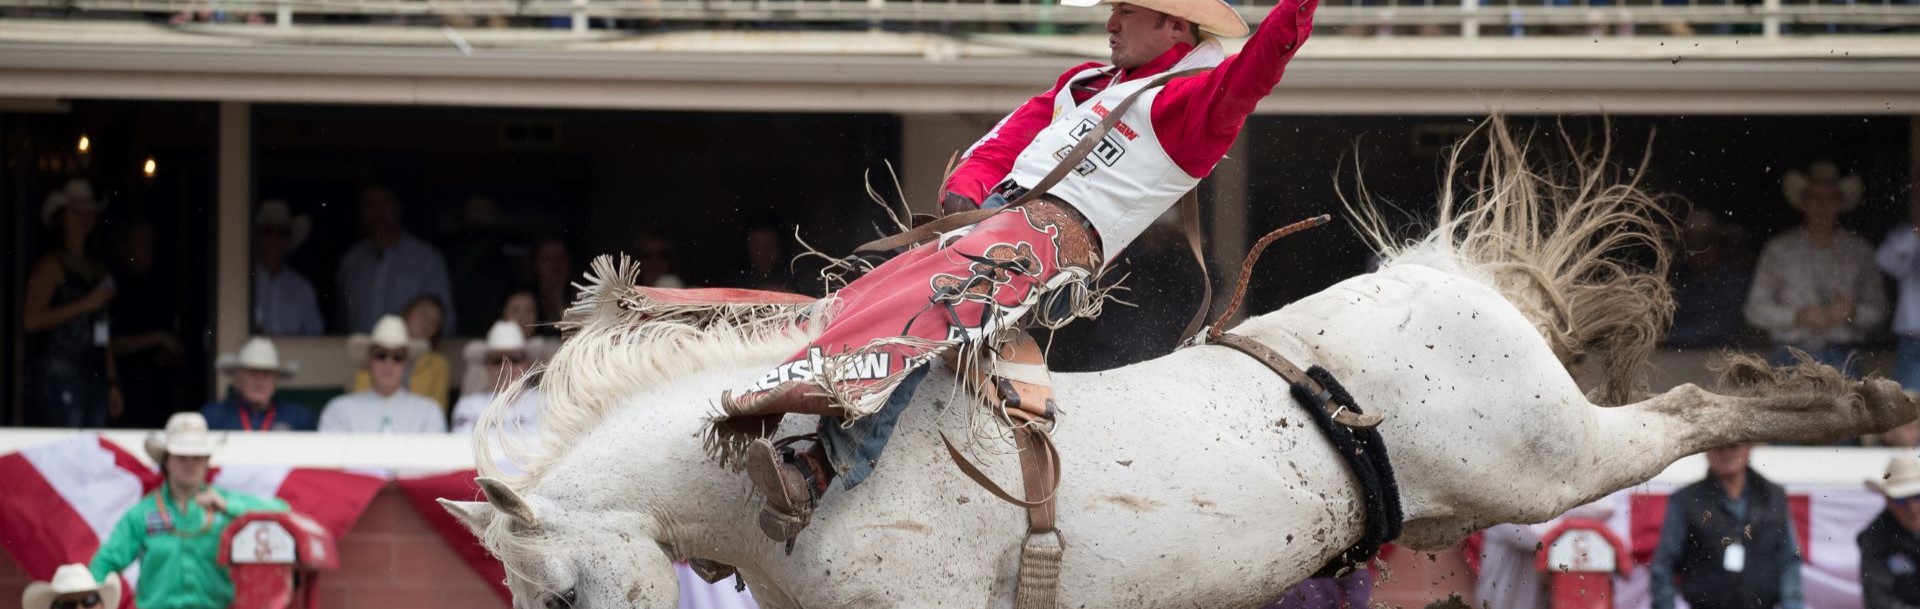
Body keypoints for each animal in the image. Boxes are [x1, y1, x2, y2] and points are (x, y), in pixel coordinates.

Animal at [439, 119, 1920, 607]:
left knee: (1690, 408)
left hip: (1554, 462)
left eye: (564, 592)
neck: (797, 468)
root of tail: (1442, 278)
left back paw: (1861, 396)